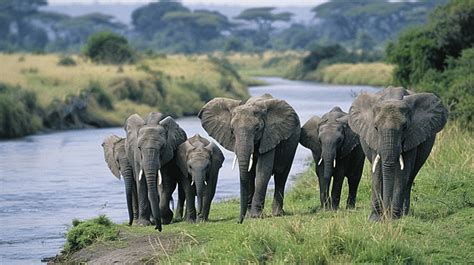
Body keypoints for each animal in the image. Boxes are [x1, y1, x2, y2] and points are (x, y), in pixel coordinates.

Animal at [199, 94, 300, 222]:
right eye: (232, 130)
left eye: (257, 129)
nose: (239, 221)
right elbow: (249, 173)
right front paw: (248, 216)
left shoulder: (269, 136)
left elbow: (263, 171)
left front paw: (256, 216)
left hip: (292, 145)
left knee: (281, 175)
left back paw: (277, 214)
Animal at [350, 86, 446, 219]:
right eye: (375, 127)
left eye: (405, 127)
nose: (385, 216)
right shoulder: (374, 139)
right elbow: (377, 171)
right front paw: (375, 219)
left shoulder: (412, 137)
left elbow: (402, 173)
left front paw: (393, 218)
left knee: (410, 178)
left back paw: (404, 214)